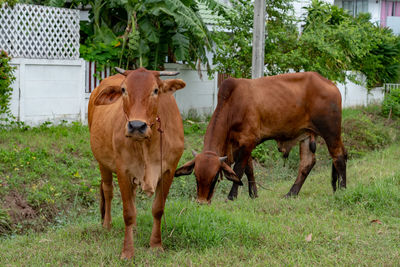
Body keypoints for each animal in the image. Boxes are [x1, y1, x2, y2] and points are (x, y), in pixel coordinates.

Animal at [88, 67, 185, 260]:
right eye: (124, 90)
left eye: (155, 90)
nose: (136, 126)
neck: (147, 142)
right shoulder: (122, 170)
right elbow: (128, 212)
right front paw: (127, 252)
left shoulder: (169, 171)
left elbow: (158, 209)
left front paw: (156, 245)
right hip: (102, 162)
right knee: (108, 191)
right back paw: (107, 224)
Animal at [175, 72, 346, 204]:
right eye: (196, 176)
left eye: (214, 177)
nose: (201, 202)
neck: (232, 105)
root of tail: (331, 84)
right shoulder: (243, 145)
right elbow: (249, 169)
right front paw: (253, 194)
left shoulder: (247, 142)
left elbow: (238, 170)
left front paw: (231, 196)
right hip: (306, 134)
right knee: (307, 163)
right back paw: (291, 193)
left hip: (331, 132)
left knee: (339, 156)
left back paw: (343, 189)